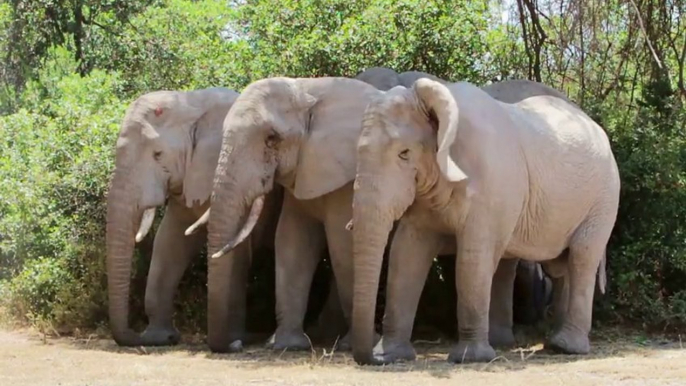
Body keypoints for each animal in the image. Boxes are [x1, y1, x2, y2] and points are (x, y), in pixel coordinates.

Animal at [352, 79, 620, 364]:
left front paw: (469, 358)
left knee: (581, 258)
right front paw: (393, 355)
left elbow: (473, 259)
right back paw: (535, 344)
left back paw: (566, 348)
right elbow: (405, 255)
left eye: (404, 154)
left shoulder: (489, 186)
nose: (373, 359)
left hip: (604, 199)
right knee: (553, 267)